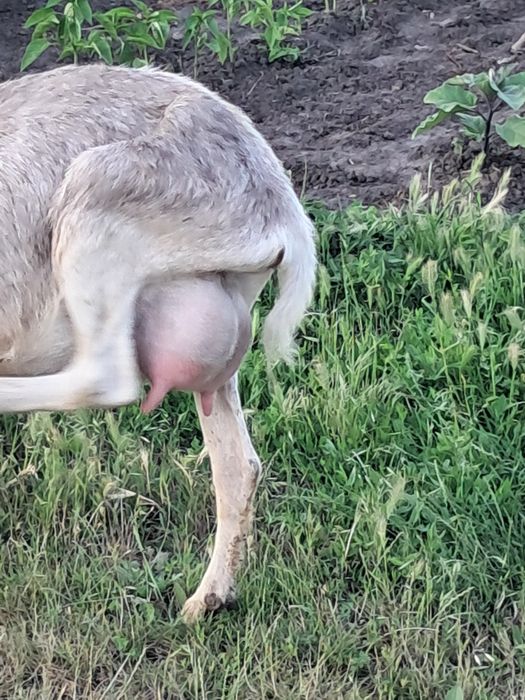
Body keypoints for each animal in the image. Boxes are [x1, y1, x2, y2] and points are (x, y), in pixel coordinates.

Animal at [0, 63, 317, 621]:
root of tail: (283, 215)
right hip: (213, 323)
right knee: (240, 465)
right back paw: (207, 598)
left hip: (95, 207)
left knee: (103, 378)